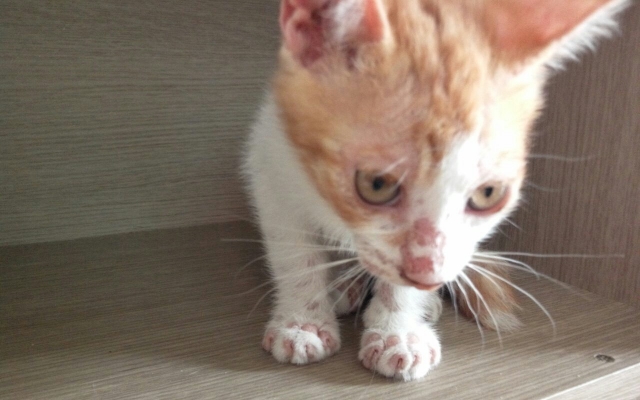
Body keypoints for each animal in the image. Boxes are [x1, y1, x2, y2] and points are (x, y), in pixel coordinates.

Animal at [244, 0, 629, 381]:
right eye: (376, 184)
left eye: (488, 193)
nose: (427, 277)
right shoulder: (270, 159)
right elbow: (295, 253)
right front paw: (302, 323)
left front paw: (397, 331)